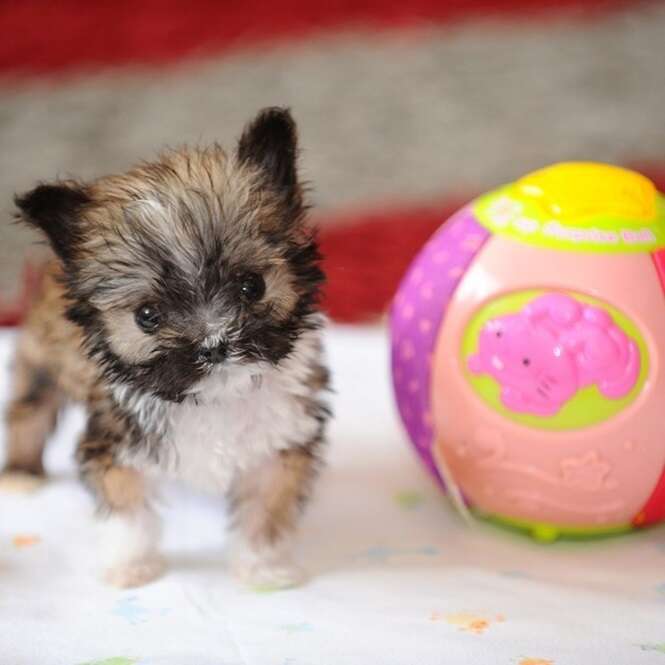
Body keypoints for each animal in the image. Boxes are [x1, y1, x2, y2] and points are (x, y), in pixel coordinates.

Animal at [1, 107, 330, 588]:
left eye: (251, 285)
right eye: (147, 315)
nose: (214, 344)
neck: (214, 397)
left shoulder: (281, 440)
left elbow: (266, 509)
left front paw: (264, 568)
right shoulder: (116, 442)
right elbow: (128, 508)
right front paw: (131, 566)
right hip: (42, 356)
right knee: (29, 406)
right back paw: (21, 473)